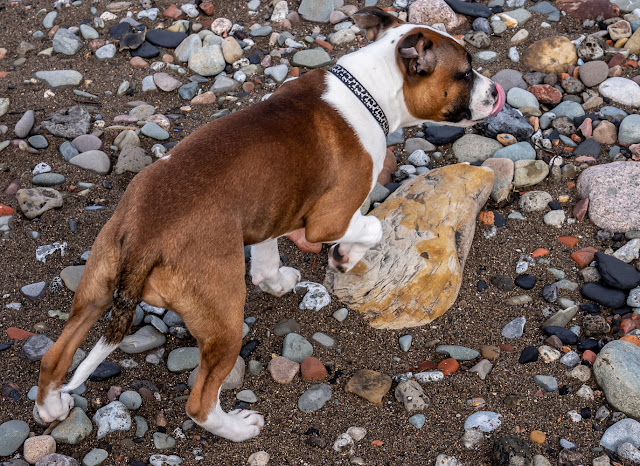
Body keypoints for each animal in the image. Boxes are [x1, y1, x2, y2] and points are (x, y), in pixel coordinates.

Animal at [36, 9, 504, 442]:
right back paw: (237, 428)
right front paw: (347, 253)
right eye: (464, 73)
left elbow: (267, 257)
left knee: (55, 356)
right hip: (223, 322)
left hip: (96, 286)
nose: (496, 91)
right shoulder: (327, 219)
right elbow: (368, 226)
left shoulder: (272, 212)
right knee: (199, 402)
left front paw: (278, 280)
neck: (367, 90)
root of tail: (146, 236)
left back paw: (51, 407)